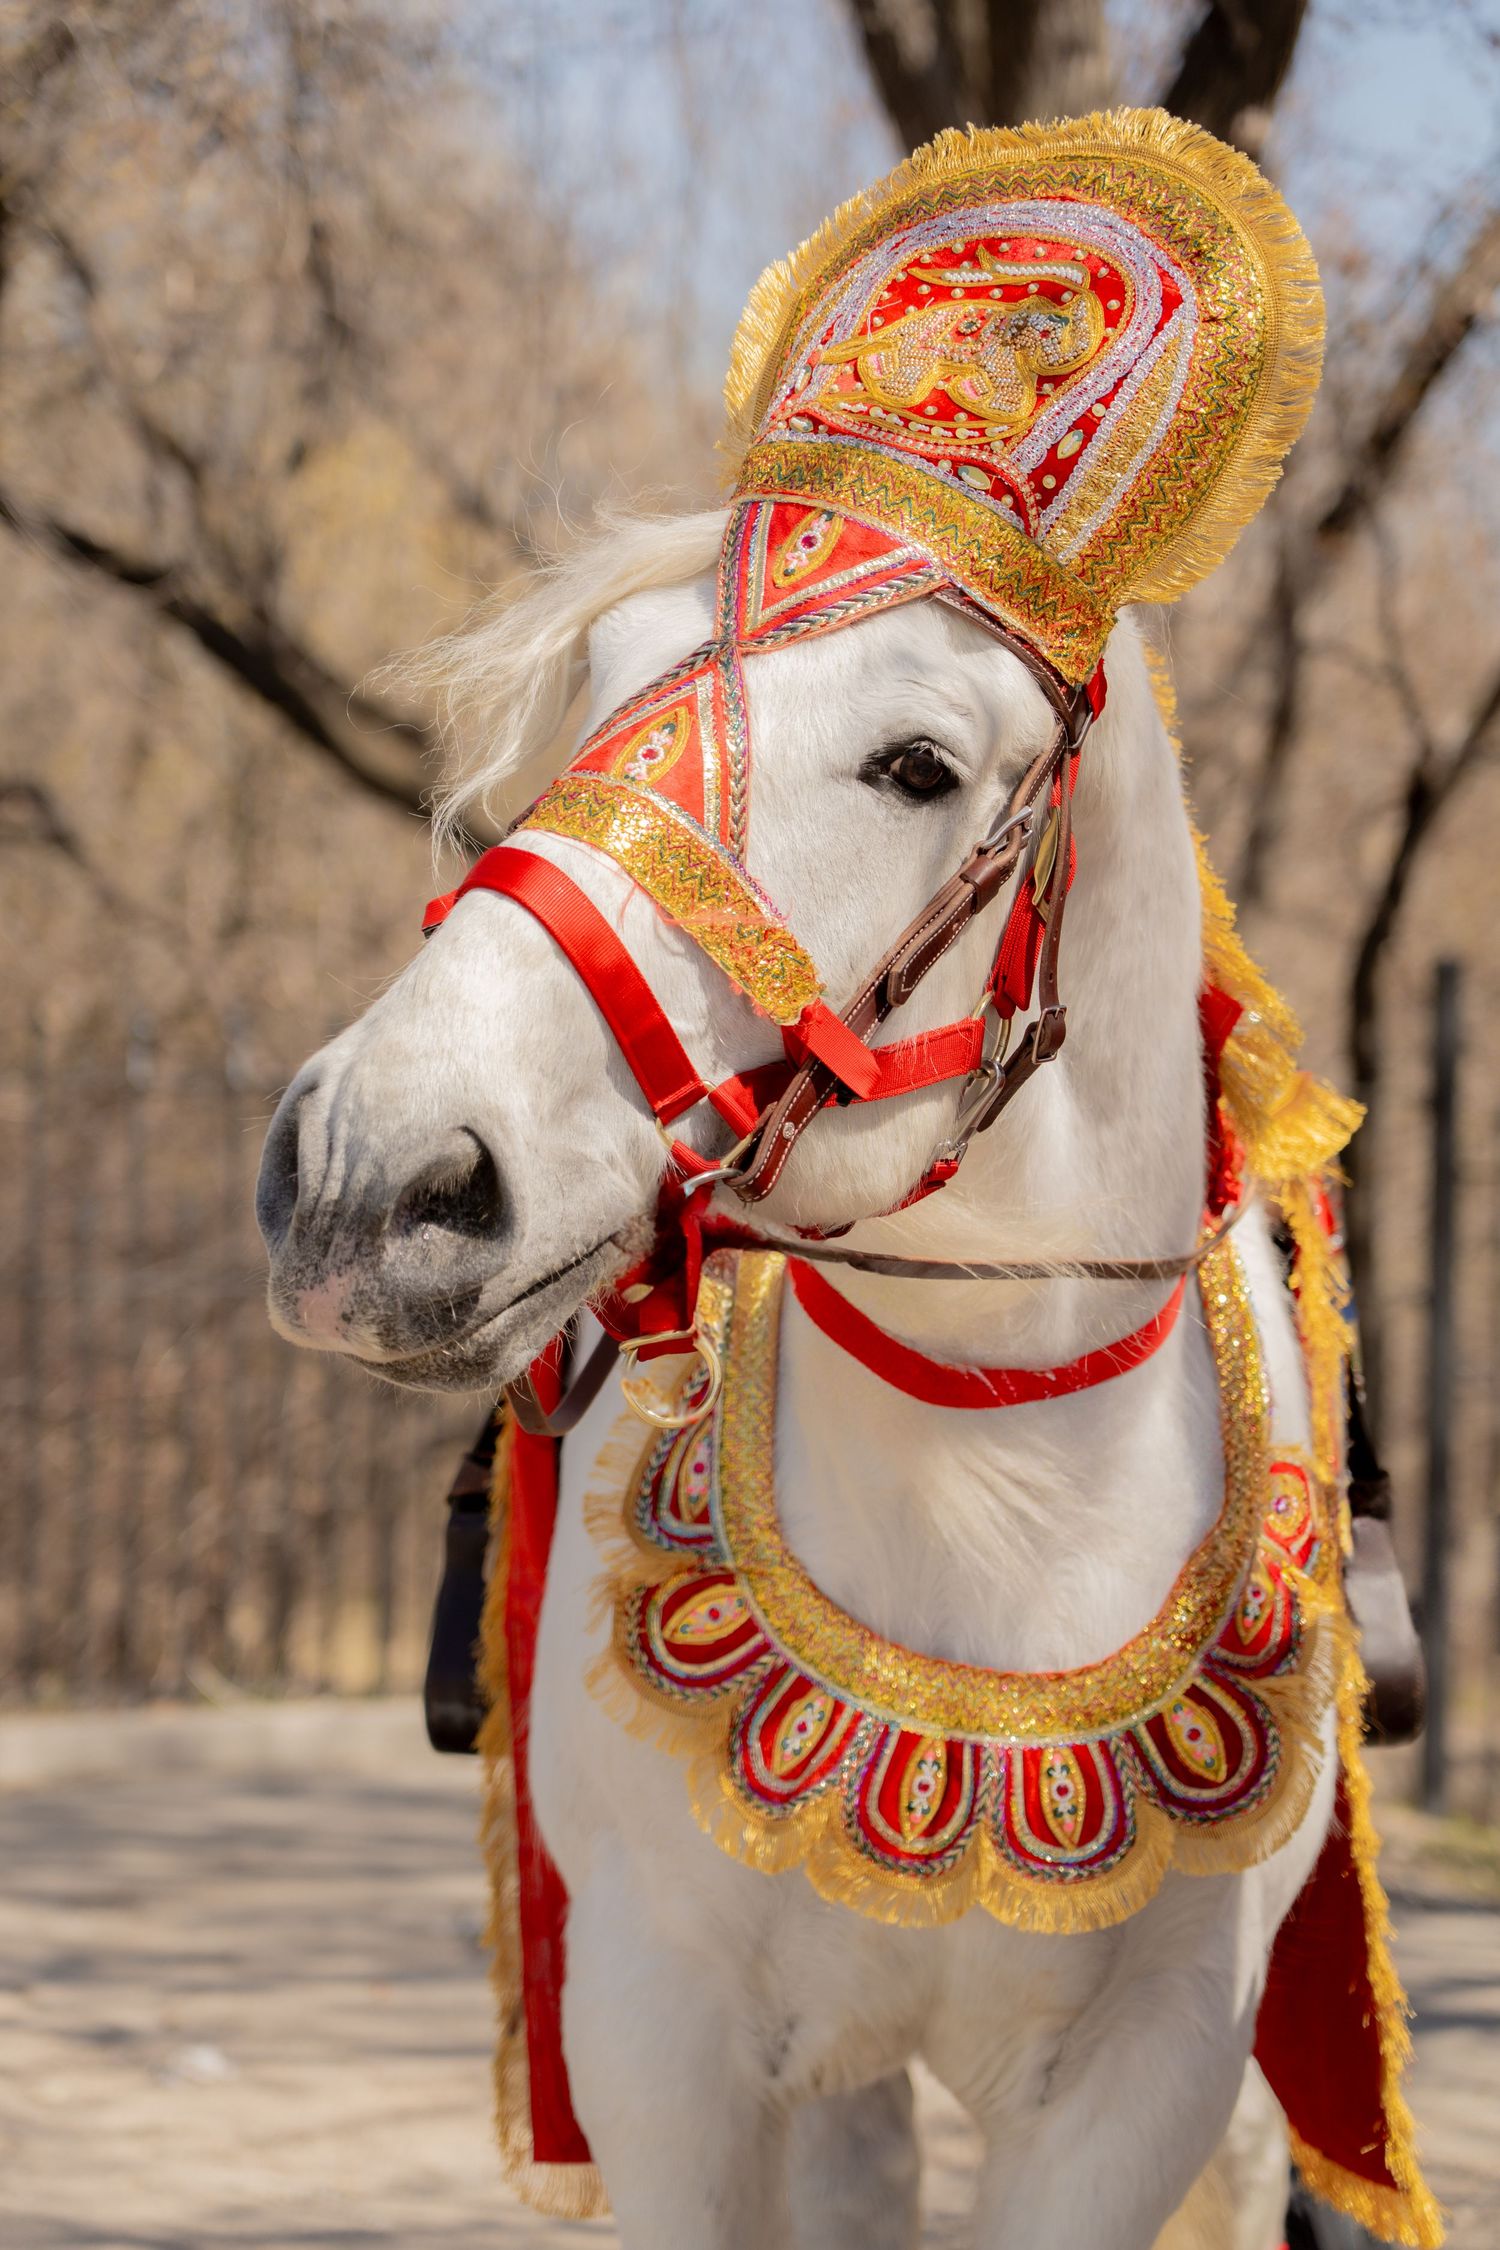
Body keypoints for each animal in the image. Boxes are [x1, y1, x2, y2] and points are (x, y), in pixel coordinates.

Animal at [256, 502, 1335, 2250]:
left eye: (917, 765)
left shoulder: (1150, 2065)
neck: (999, 1481)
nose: (369, 1177)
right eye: (596, 695)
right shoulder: (660, 2035)